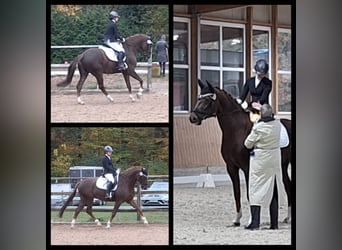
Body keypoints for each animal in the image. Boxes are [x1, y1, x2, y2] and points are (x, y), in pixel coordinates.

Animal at [188, 80, 292, 227]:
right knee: (288, 185)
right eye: (199, 98)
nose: (193, 118)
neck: (236, 130)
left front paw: (250, 221)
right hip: (282, 165)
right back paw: (287, 218)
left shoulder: (248, 168)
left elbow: (249, 193)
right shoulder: (231, 167)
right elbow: (236, 193)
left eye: (208, 100)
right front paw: (237, 220)